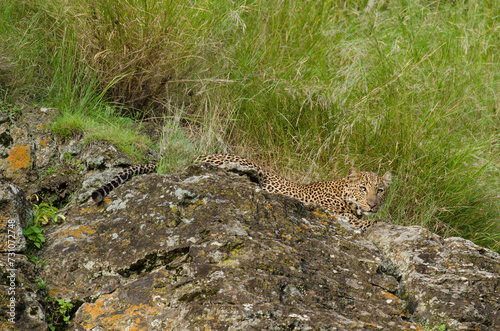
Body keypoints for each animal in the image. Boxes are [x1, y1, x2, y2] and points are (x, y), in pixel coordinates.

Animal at [92, 154, 392, 230]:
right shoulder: (337, 213)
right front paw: (377, 220)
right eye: (363, 188)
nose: (373, 204)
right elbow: (366, 223)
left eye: (379, 191)